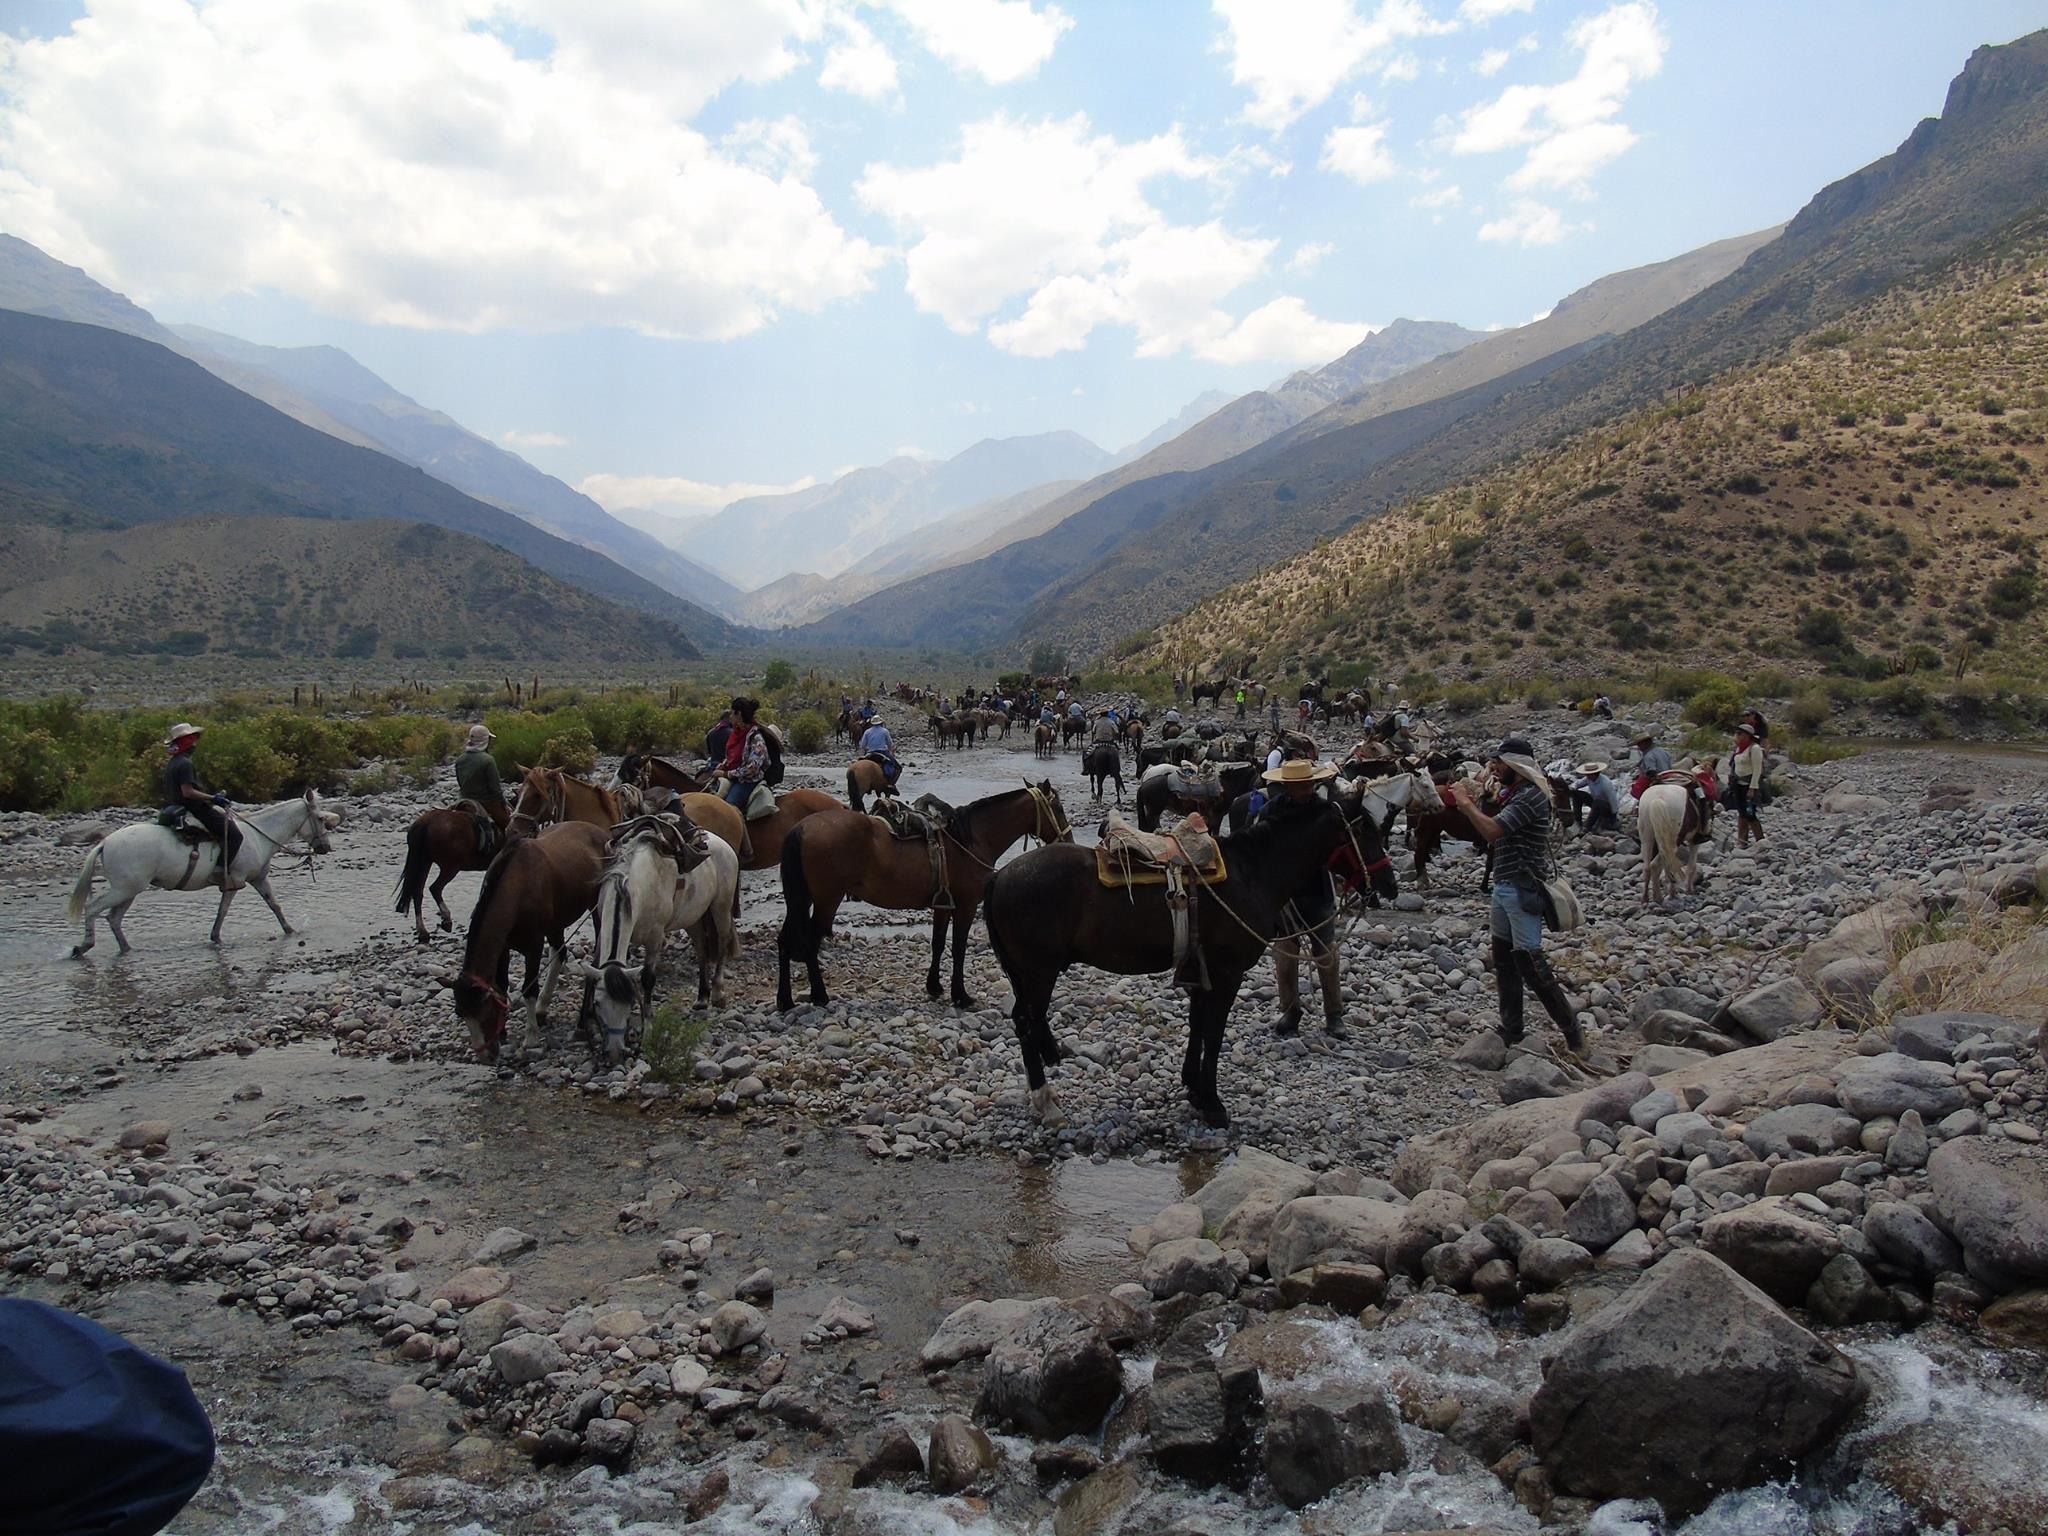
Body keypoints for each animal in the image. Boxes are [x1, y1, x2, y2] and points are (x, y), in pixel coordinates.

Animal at [66, 798, 335, 958]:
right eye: (321, 818)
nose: (325, 847)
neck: (258, 836)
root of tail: (105, 842)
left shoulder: (259, 879)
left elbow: (275, 905)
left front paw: (290, 931)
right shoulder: (235, 882)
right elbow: (222, 912)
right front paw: (215, 938)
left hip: (129, 891)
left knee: (113, 918)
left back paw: (126, 949)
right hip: (124, 889)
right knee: (93, 908)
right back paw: (83, 946)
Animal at [442, 823, 606, 1064]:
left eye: (485, 1012)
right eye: (461, 1013)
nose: (485, 1057)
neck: (516, 886)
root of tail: (600, 831)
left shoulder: (533, 946)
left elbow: (529, 988)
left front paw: (531, 1036)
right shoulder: (503, 947)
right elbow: (501, 986)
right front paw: (503, 1032)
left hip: (597, 906)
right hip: (555, 923)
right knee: (560, 954)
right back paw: (543, 1007)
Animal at [778, 782, 1081, 1024]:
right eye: (1058, 807)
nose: (1068, 839)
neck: (969, 840)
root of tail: (801, 828)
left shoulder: (942, 905)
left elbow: (937, 943)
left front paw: (934, 986)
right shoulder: (966, 905)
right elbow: (958, 948)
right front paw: (960, 995)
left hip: (801, 900)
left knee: (785, 941)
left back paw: (785, 1000)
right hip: (826, 901)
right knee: (810, 943)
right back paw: (819, 995)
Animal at [978, 794, 1392, 1130]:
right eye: (1367, 831)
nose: (1389, 884)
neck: (1251, 873)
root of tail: (999, 876)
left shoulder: (1199, 970)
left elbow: (1197, 1026)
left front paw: (1193, 1088)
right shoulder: (1227, 973)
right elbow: (1214, 1031)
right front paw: (1212, 1102)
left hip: (1024, 975)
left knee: (1026, 1021)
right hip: (1038, 973)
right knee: (1026, 1024)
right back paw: (1045, 1102)